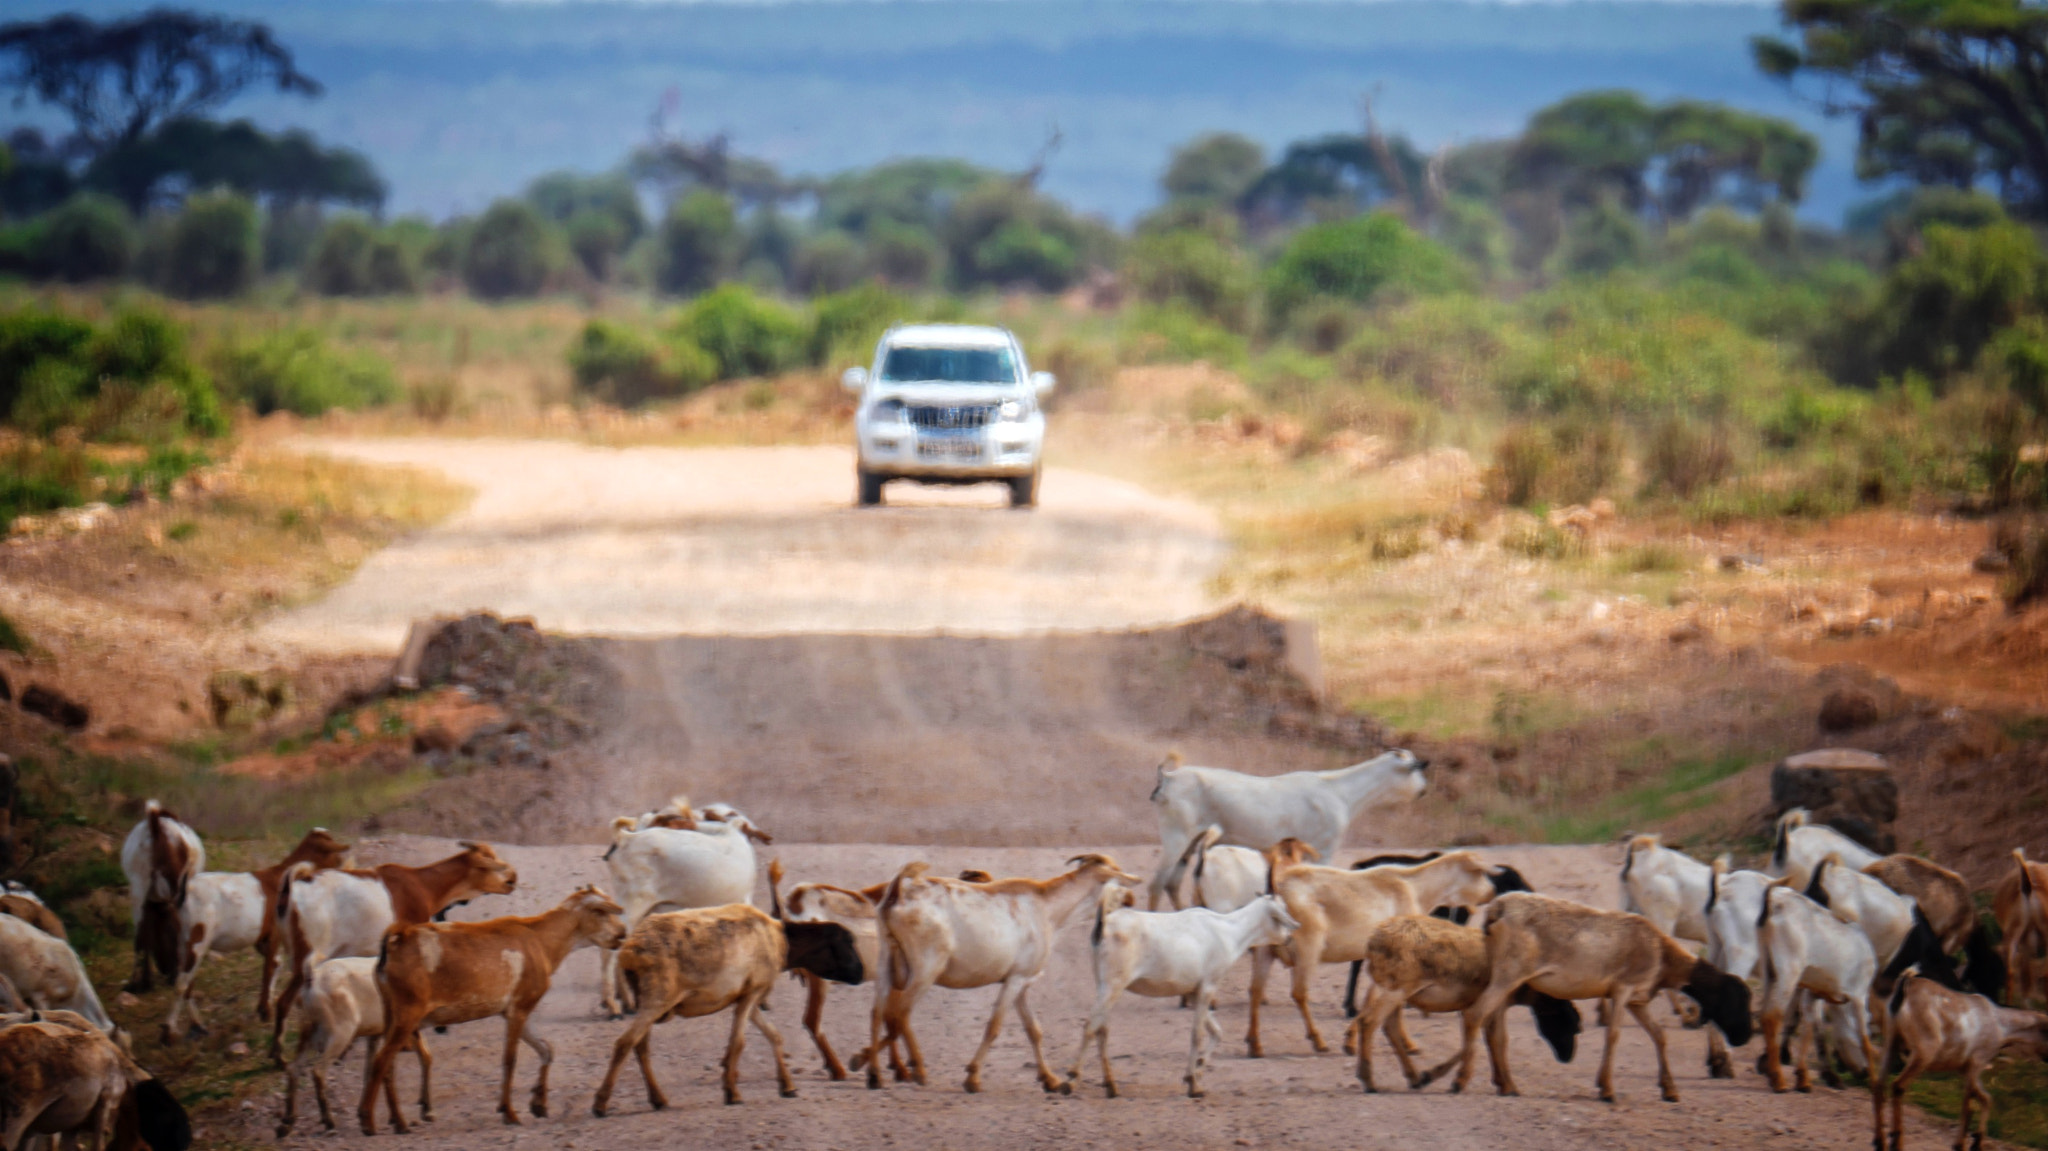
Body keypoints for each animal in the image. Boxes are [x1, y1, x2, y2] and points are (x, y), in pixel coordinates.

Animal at [1064, 880, 1286, 1097]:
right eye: (1282, 911)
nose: (1291, 935)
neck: (1228, 930)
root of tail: (1104, 924)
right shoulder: (1208, 987)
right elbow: (1197, 1034)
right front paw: (1194, 1084)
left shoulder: (1194, 992)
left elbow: (1216, 1032)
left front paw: (1197, 1070)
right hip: (1113, 987)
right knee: (1091, 1026)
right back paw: (1070, 1079)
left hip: (1104, 987)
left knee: (1101, 1030)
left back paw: (1110, 1085)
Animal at [1155, 749, 1425, 909]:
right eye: (1417, 769)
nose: (1423, 789)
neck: (1339, 791)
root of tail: (1168, 779)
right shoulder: (1324, 850)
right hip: (1176, 836)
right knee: (1157, 883)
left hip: (1191, 841)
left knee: (1172, 883)